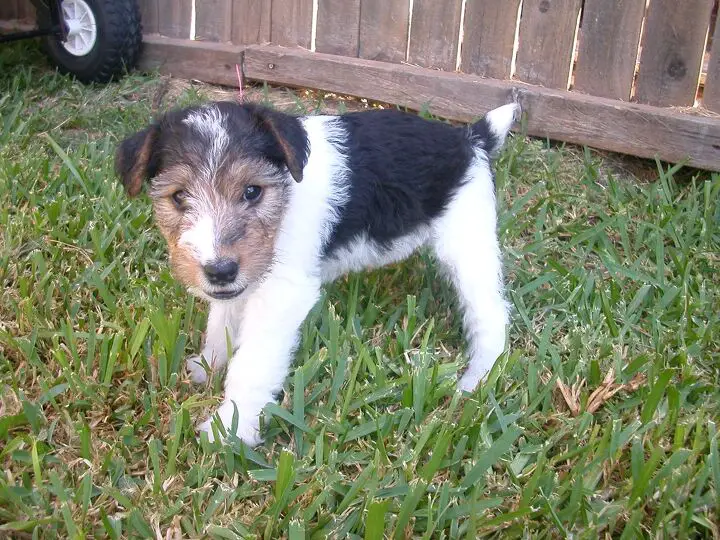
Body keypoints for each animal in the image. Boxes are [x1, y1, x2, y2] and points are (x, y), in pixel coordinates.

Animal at [115, 99, 520, 446]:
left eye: (252, 191)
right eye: (179, 196)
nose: (220, 270)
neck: (286, 190)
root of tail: (470, 138)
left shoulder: (282, 292)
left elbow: (253, 364)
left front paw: (230, 427)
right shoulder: (243, 283)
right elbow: (222, 323)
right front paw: (208, 364)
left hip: (468, 244)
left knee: (491, 315)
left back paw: (477, 378)